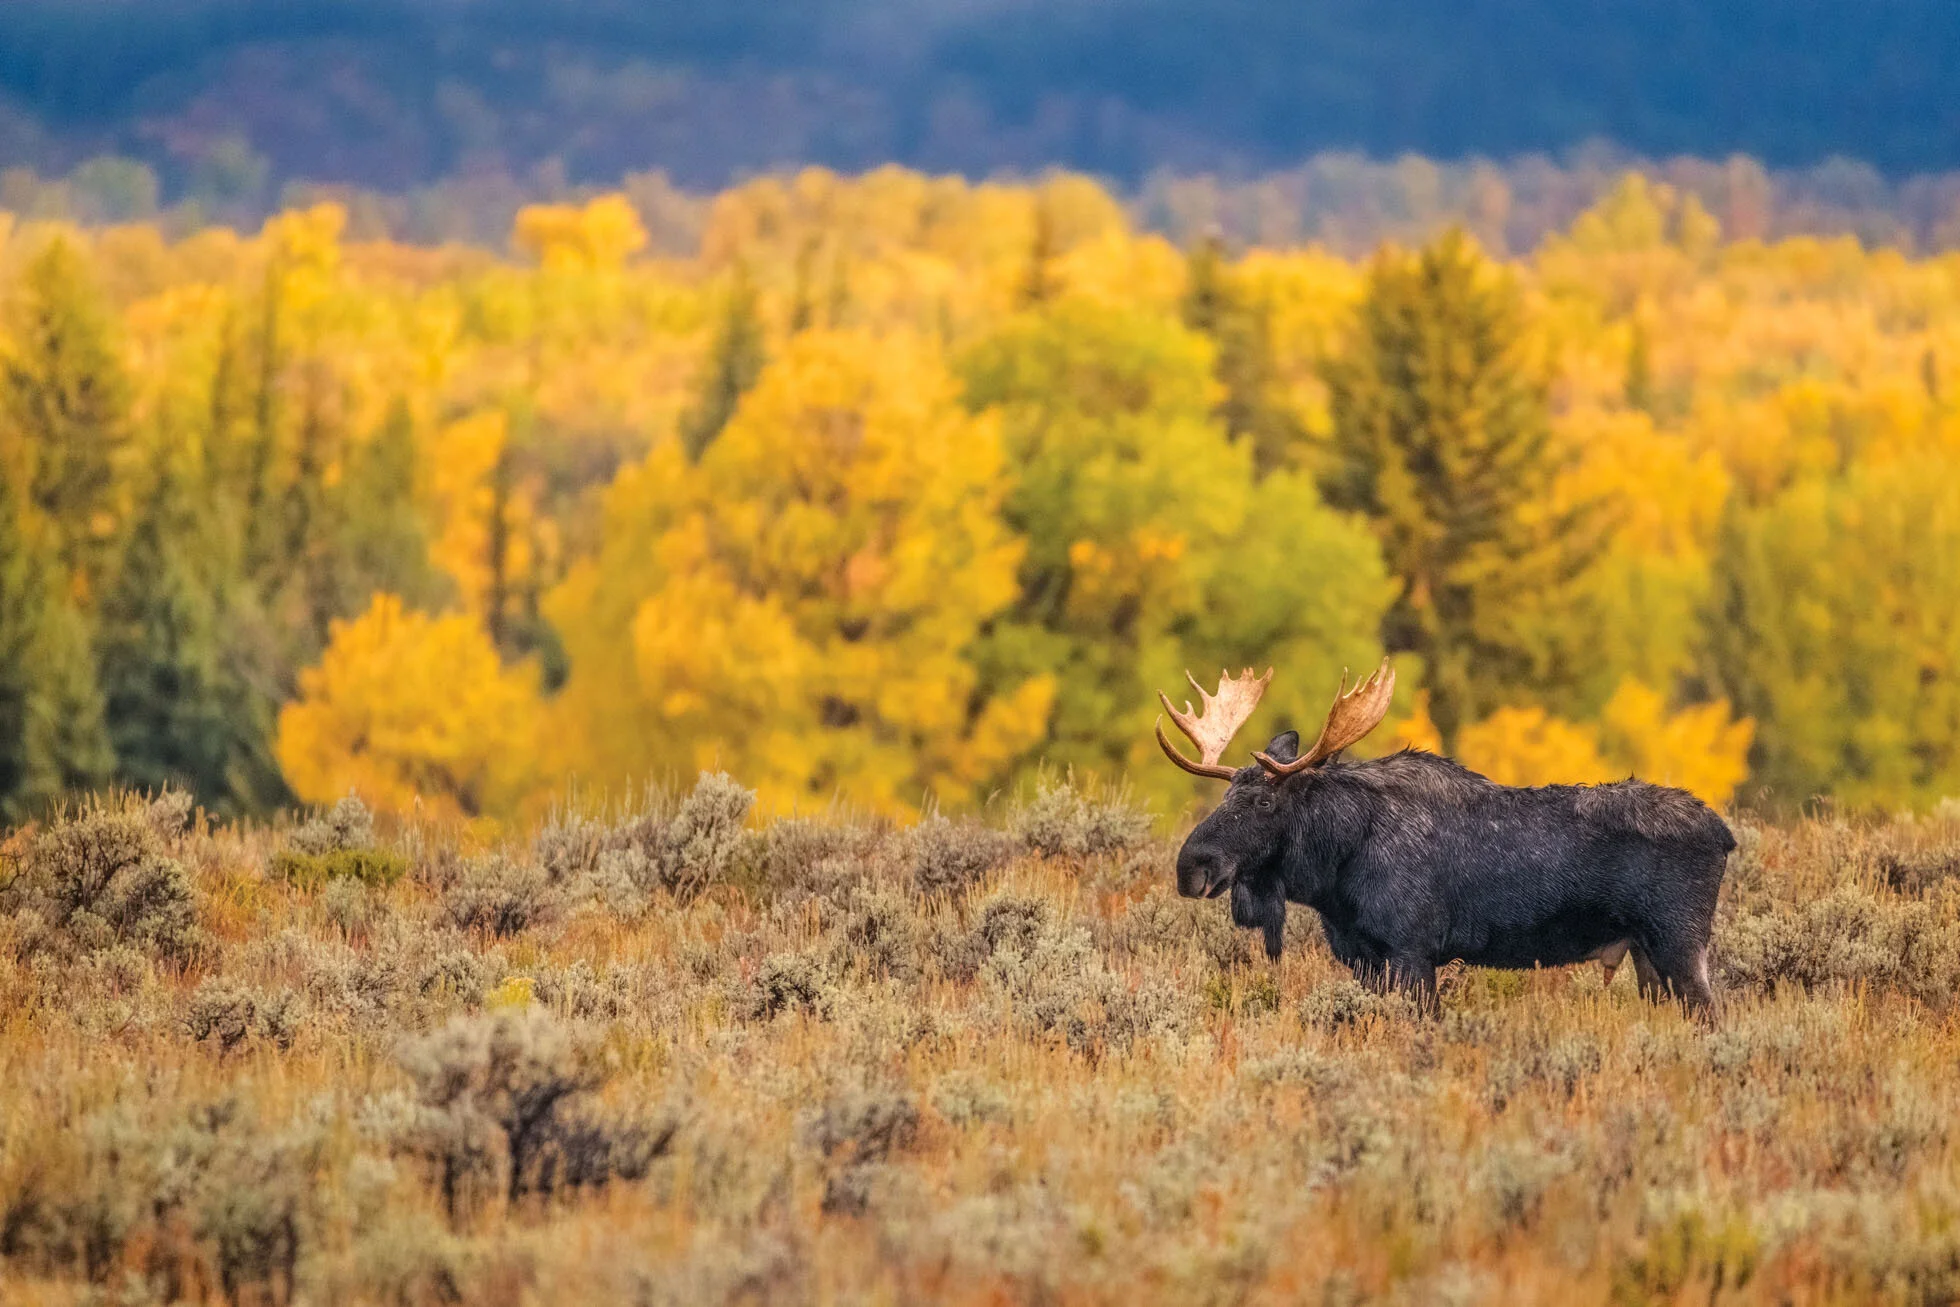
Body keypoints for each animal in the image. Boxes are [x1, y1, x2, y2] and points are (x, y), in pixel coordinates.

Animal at [1156, 663, 1734, 1013]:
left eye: (1264, 802)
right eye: (1228, 793)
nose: (1190, 866)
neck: (1334, 871)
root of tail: (1726, 836)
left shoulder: (1412, 953)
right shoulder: (1364, 958)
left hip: (1680, 944)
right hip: (1647, 956)